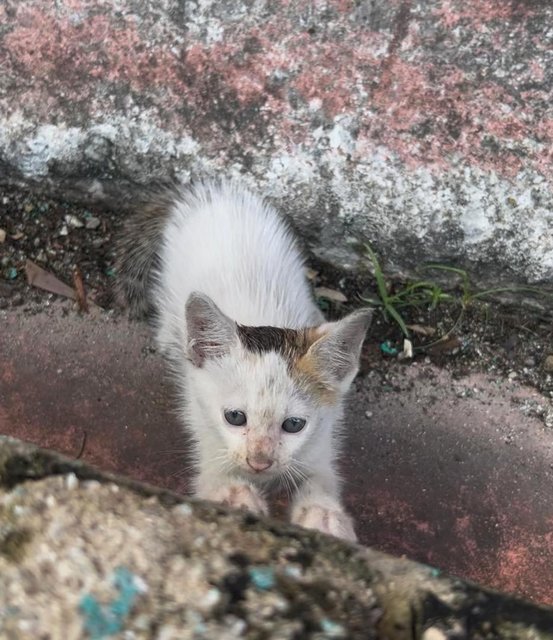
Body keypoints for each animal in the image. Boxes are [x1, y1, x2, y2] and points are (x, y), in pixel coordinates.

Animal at [118, 182, 374, 544]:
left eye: (294, 424)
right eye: (235, 417)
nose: (259, 462)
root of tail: (211, 194)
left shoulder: (323, 437)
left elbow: (321, 478)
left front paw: (324, 514)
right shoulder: (203, 423)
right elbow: (214, 473)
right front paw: (234, 496)